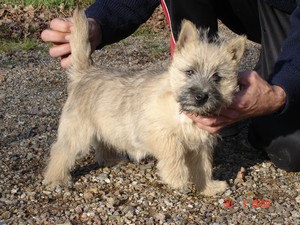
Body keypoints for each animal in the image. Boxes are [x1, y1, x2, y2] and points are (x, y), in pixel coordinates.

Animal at [44, 8, 246, 195]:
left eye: (217, 78)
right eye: (189, 71)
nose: (201, 97)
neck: (182, 112)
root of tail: (86, 72)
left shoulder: (201, 147)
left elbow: (203, 168)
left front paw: (208, 187)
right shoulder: (154, 133)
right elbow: (174, 150)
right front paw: (177, 177)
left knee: (102, 142)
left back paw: (110, 159)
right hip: (76, 132)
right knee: (60, 151)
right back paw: (55, 179)